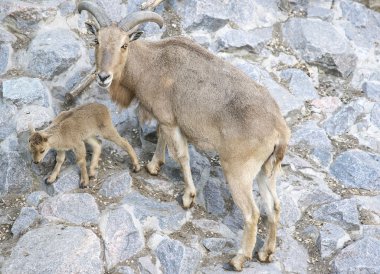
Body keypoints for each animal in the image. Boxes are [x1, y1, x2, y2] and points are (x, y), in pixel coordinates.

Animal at [77, 1, 290, 270]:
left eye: (124, 44)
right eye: (97, 40)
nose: (103, 77)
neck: (153, 63)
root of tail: (279, 130)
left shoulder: (170, 120)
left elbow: (180, 154)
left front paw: (188, 197)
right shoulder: (167, 119)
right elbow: (162, 138)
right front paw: (153, 166)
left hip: (239, 170)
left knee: (252, 213)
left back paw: (239, 258)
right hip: (266, 170)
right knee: (274, 206)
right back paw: (266, 253)